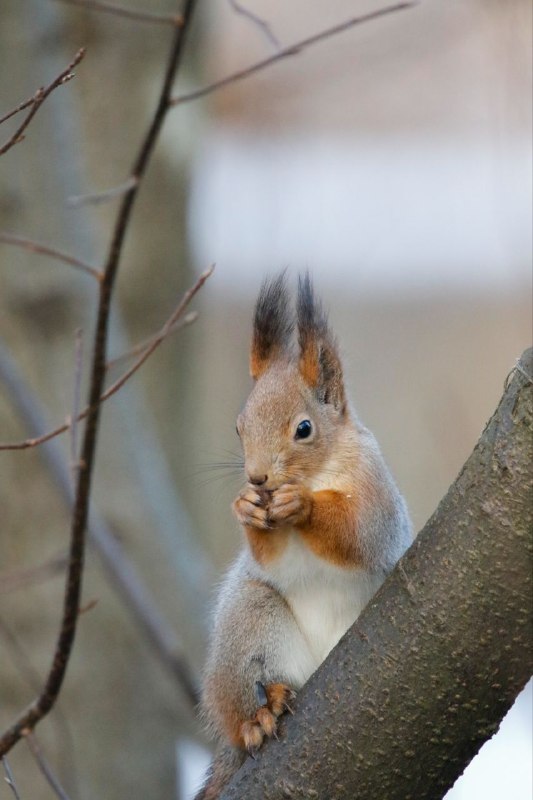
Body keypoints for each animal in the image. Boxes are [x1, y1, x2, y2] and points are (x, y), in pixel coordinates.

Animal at [195, 272, 412, 796]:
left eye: (304, 429)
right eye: (238, 427)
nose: (257, 479)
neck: (318, 475)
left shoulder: (376, 497)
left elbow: (358, 533)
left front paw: (305, 507)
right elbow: (271, 555)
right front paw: (245, 509)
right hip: (248, 621)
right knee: (241, 701)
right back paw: (260, 713)